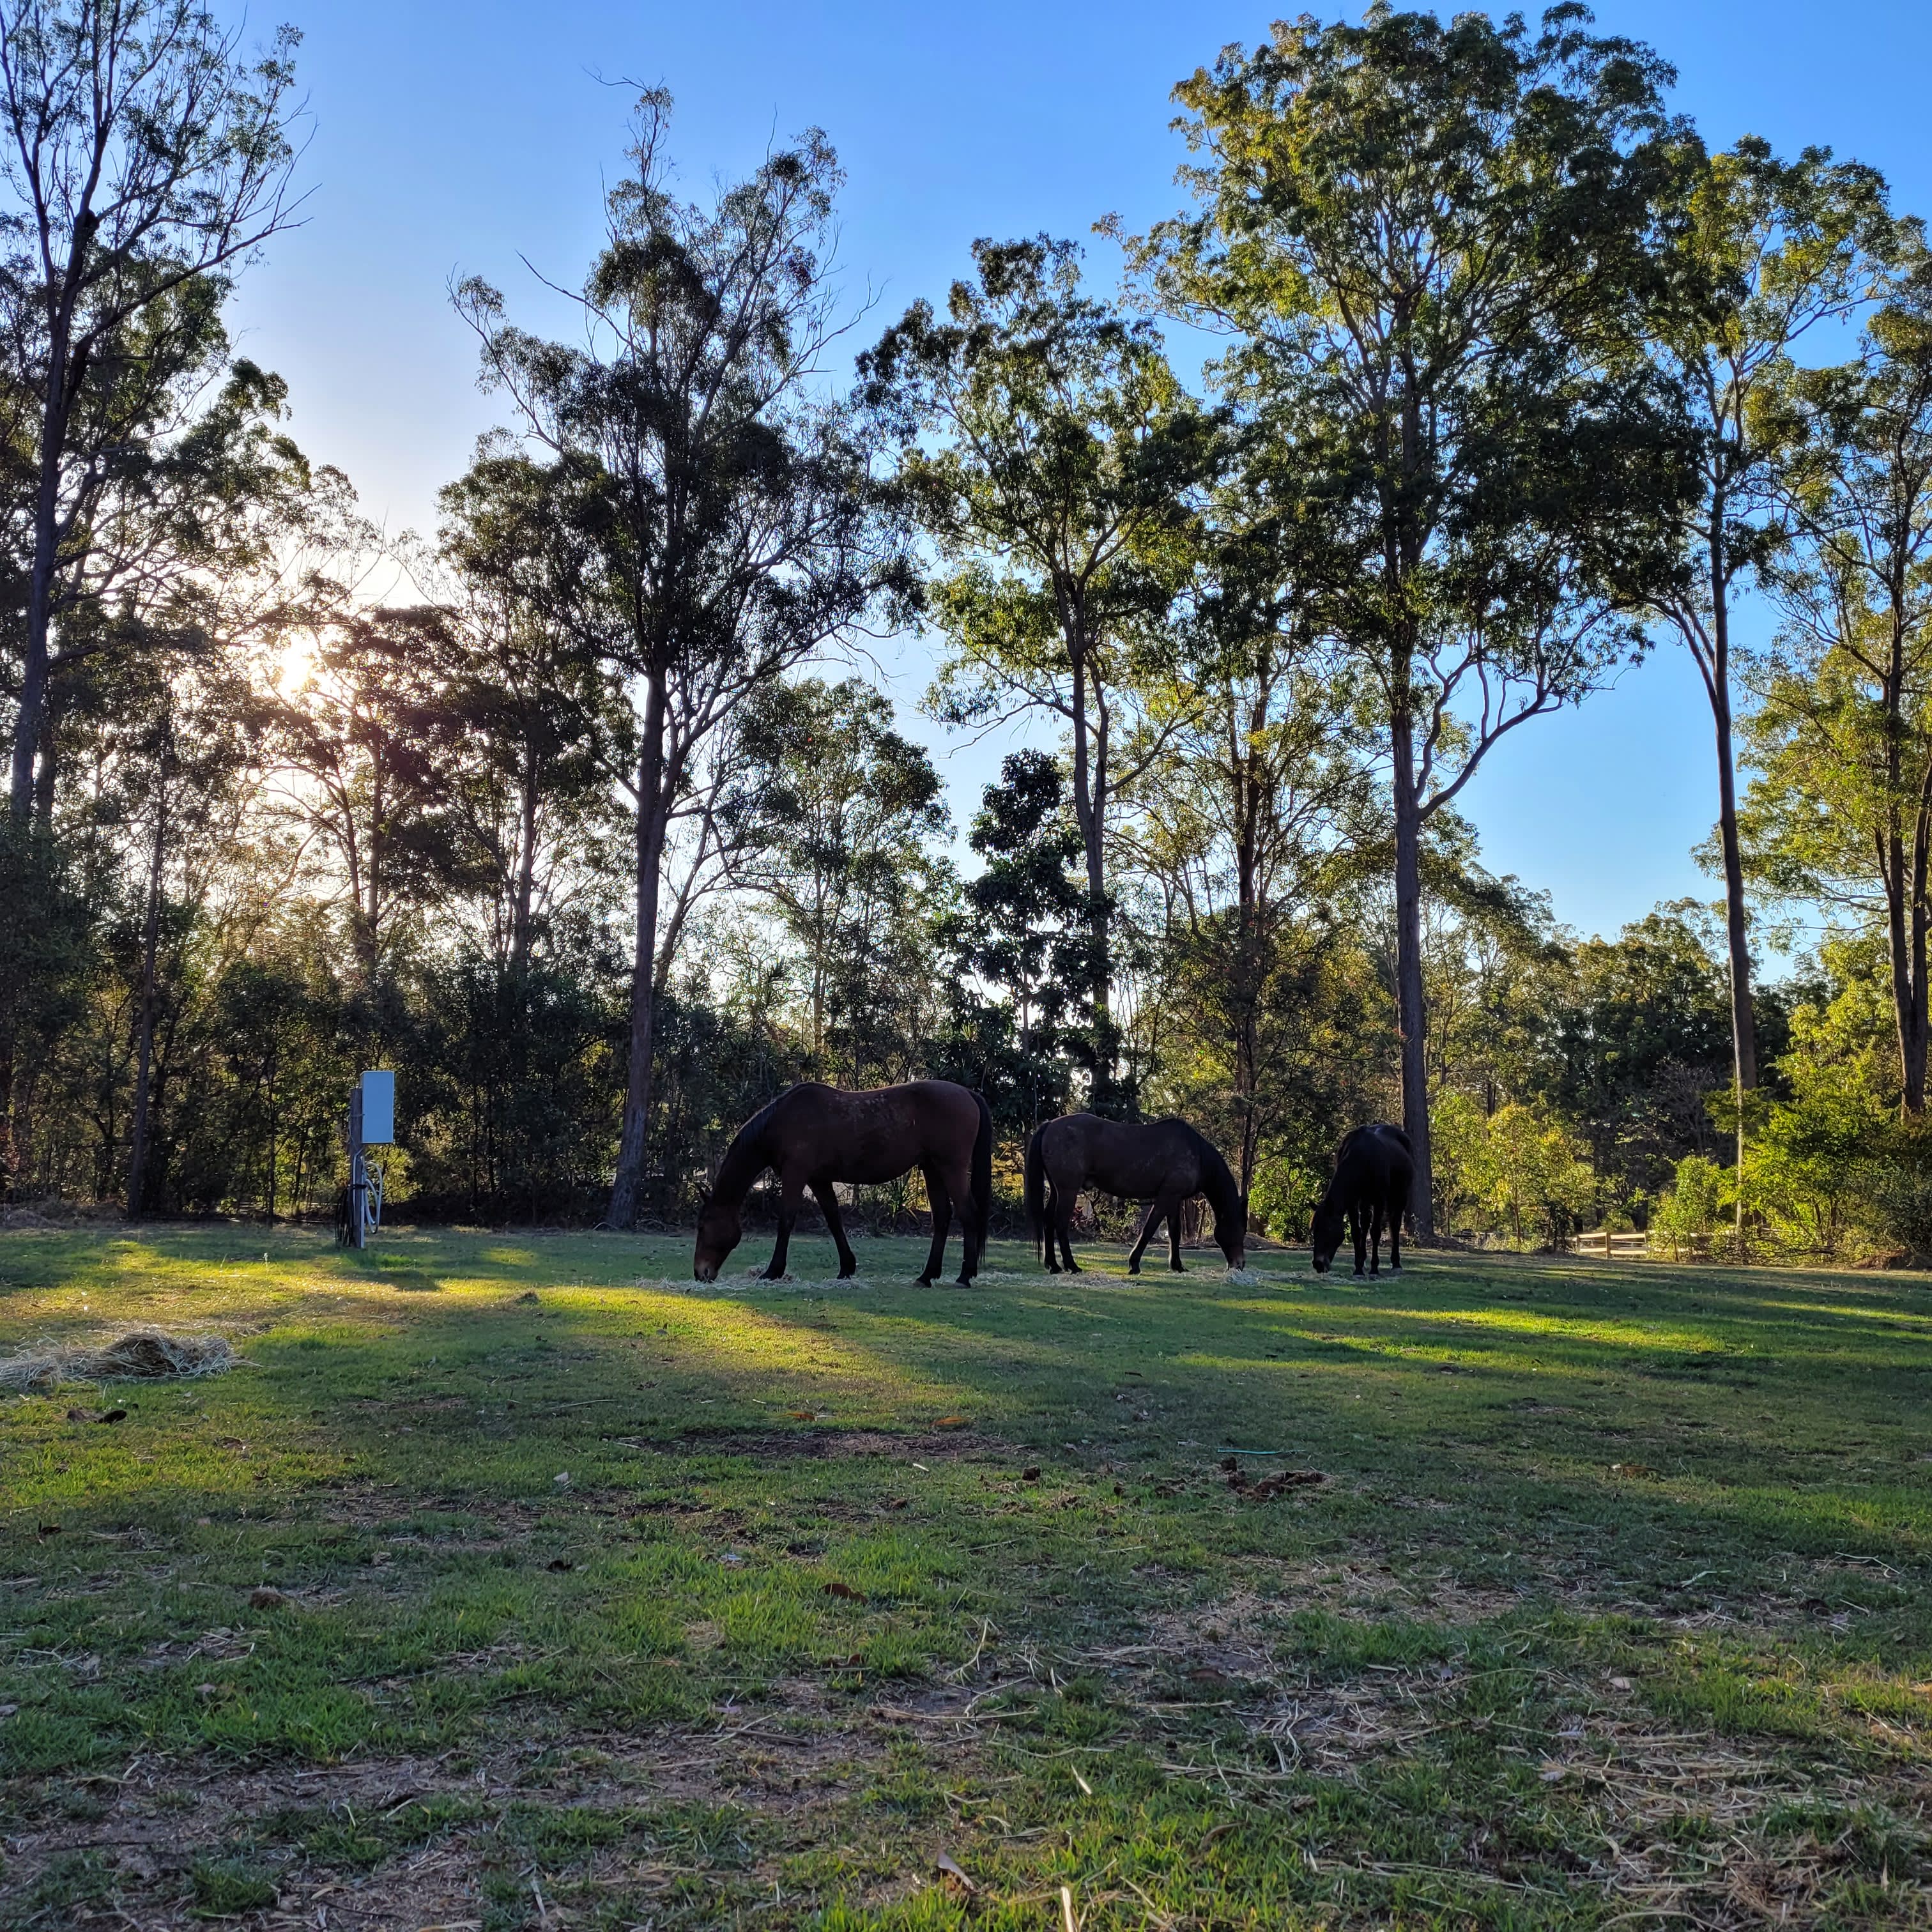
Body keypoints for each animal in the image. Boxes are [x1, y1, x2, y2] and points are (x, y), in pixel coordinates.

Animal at [693, 1080, 993, 1286]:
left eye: (703, 1226)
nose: (700, 1273)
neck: (783, 1120)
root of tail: (968, 1093)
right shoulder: (819, 1180)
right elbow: (834, 1220)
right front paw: (847, 1268)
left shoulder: (795, 1175)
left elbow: (787, 1220)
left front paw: (773, 1271)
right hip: (933, 1169)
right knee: (942, 1218)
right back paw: (927, 1276)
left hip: (951, 1168)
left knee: (968, 1214)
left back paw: (965, 1276)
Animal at [1024, 1114, 1247, 1275]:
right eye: (1240, 1230)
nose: (1240, 1264)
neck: (1197, 1154)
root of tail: (1050, 1124)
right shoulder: (1166, 1197)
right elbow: (1149, 1229)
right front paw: (1134, 1264)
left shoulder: (1174, 1200)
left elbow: (1175, 1233)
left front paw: (1177, 1266)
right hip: (1068, 1191)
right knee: (1060, 1222)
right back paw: (1072, 1266)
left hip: (1057, 1191)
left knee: (1048, 1220)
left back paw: (1054, 1266)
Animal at [1310, 1122, 1414, 1277]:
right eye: (1313, 1231)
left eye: (1328, 1229)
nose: (1318, 1264)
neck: (1362, 1158)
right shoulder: (1352, 1201)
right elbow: (1356, 1231)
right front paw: (1358, 1268)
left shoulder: (1379, 1200)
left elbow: (1375, 1232)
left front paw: (1374, 1268)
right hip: (1366, 1200)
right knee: (1365, 1224)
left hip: (1400, 1196)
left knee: (1394, 1224)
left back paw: (1396, 1264)